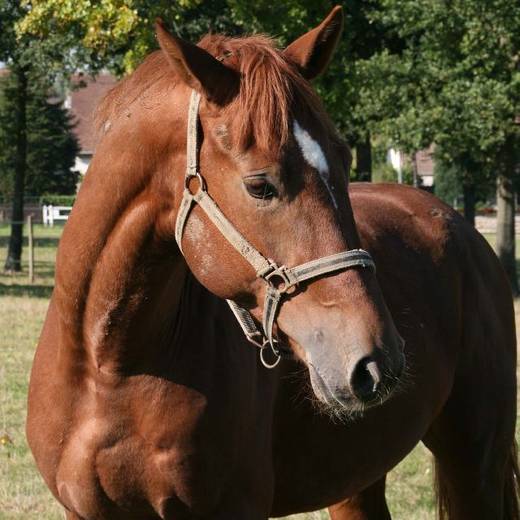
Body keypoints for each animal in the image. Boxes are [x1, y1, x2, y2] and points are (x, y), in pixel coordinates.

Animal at [27, 5, 516, 520]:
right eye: (260, 186)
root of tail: (459, 225)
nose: (377, 360)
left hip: (476, 461)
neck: (109, 369)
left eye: (344, 161)